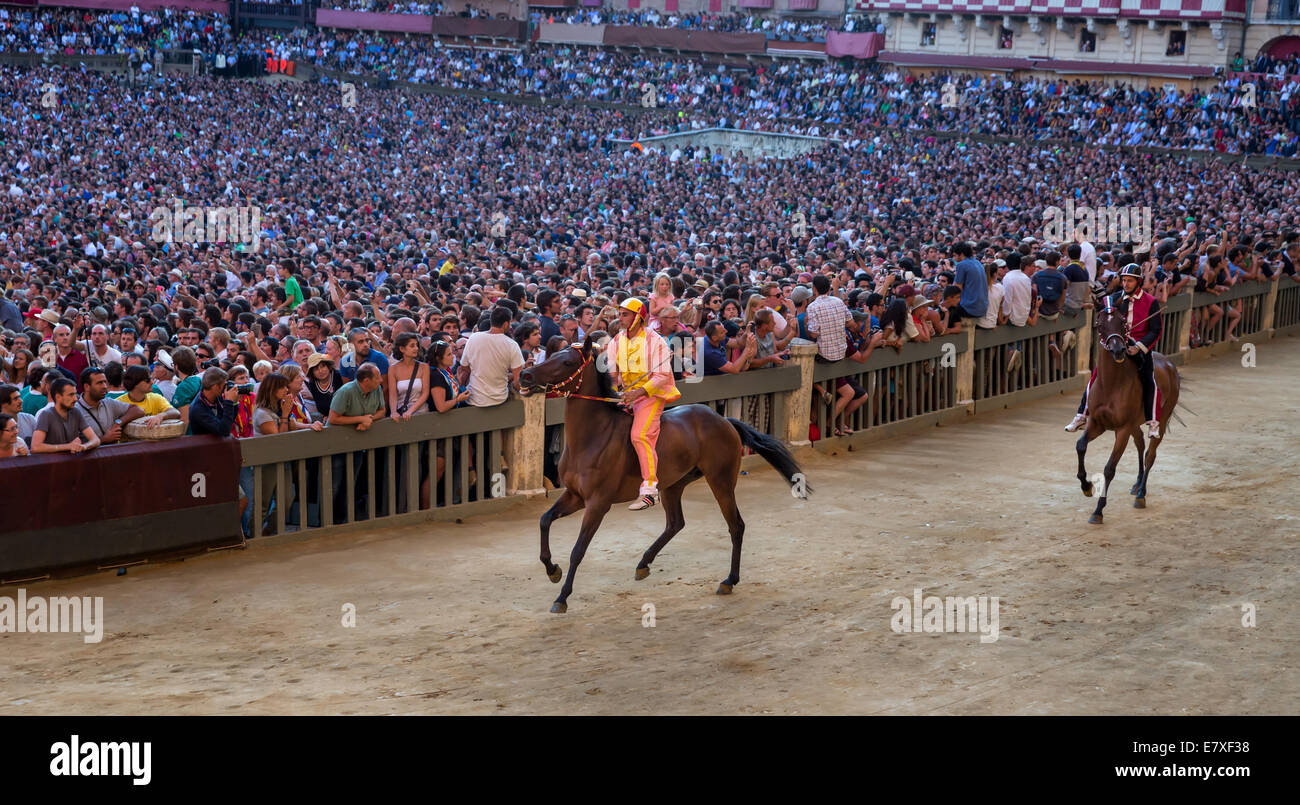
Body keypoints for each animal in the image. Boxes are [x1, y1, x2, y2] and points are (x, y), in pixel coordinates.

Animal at [514, 332, 800, 616]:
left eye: (567, 362)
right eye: (551, 354)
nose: (525, 375)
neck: (591, 437)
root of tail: (724, 420)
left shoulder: (597, 503)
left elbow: (578, 550)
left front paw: (562, 597)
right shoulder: (574, 495)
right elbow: (544, 520)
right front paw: (552, 570)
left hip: (720, 480)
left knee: (735, 525)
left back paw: (729, 580)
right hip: (673, 484)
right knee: (676, 523)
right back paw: (644, 564)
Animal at [1076, 301, 1180, 522]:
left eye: (1122, 322)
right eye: (1099, 324)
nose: (1118, 349)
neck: (1111, 383)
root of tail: (1169, 364)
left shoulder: (1122, 429)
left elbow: (1109, 469)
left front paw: (1098, 510)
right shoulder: (1097, 424)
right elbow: (1080, 446)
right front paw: (1086, 486)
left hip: (1161, 419)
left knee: (1150, 453)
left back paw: (1141, 494)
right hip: (1133, 424)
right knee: (1140, 443)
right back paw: (1137, 483)